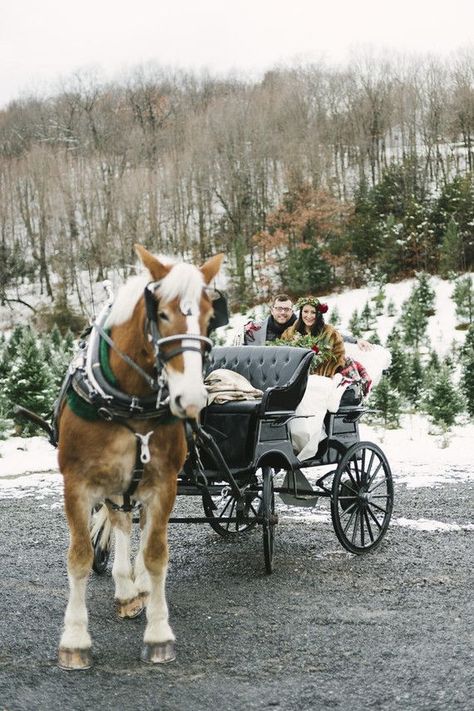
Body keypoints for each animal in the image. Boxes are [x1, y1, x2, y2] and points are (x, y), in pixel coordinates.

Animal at [56, 243, 223, 668]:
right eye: (161, 314)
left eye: (209, 316)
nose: (192, 398)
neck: (128, 401)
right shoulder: (76, 484)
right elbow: (80, 557)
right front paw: (75, 640)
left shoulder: (163, 483)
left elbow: (156, 553)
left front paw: (159, 634)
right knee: (119, 522)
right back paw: (125, 587)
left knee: (139, 527)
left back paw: (139, 588)